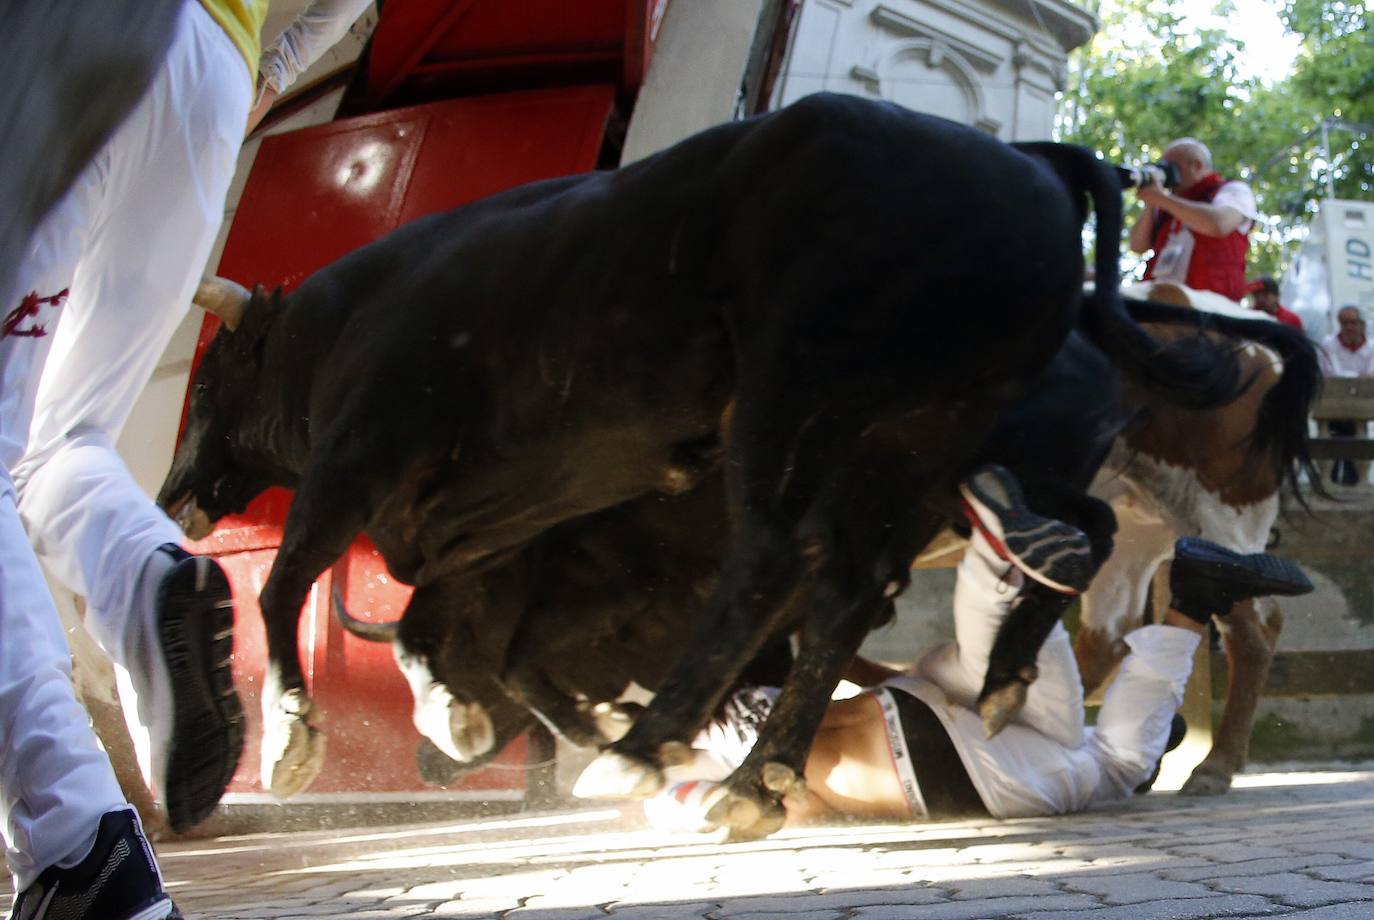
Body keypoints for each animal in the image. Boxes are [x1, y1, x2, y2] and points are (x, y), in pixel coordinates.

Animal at [158, 95, 1247, 834]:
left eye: (207, 385)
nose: (173, 495)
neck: (337, 322)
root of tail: (1029, 167)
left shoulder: (360, 461)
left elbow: (292, 581)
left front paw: (295, 734)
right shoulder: (480, 539)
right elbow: (440, 640)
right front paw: (465, 715)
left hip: (791, 395)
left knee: (779, 560)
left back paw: (653, 753)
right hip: (910, 447)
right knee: (877, 584)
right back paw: (780, 768)